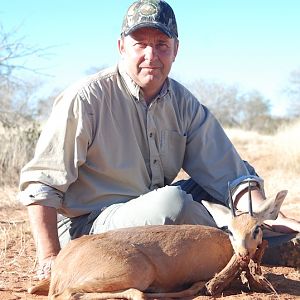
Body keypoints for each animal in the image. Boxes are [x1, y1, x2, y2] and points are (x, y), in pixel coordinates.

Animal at [29, 190, 288, 300]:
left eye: (256, 229)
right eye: (231, 231)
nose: (243, 253)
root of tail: (62, 265)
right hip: (137, 273)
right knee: (69, 294)